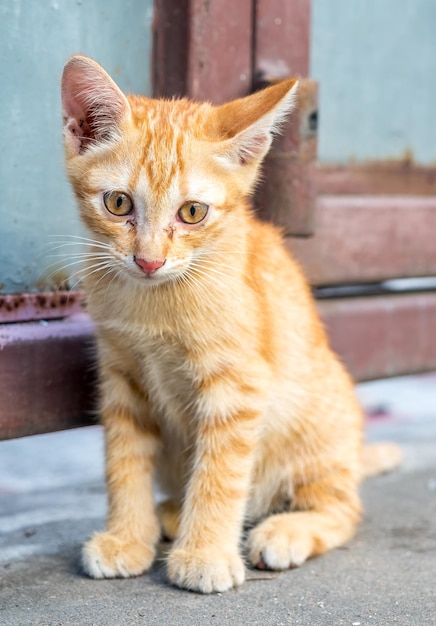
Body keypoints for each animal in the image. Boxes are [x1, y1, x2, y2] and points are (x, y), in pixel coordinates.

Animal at [62, 54, 402, 588]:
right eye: (118, 203)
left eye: (192, 212)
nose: (148, 261)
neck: (154, 298)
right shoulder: (121, 378)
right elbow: (124, 459)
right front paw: (127, 538)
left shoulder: (239, 386)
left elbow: (219, 473)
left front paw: (204, 553)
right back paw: (170, 514)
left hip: (317, 428)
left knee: (342, 508)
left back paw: (286, 530)